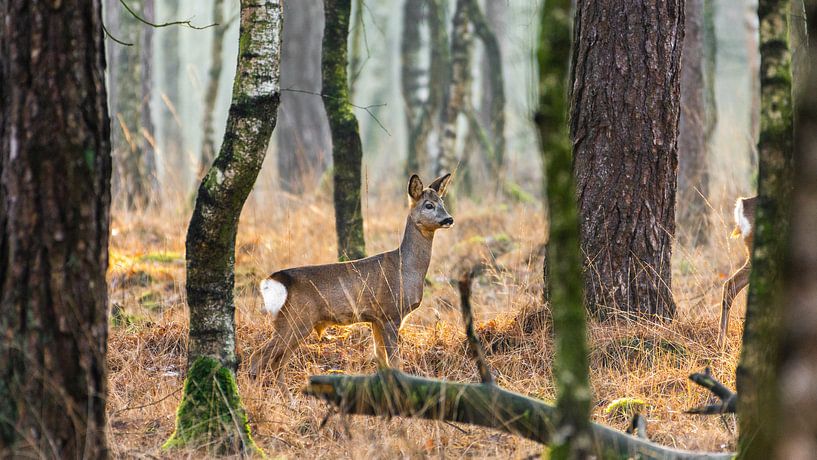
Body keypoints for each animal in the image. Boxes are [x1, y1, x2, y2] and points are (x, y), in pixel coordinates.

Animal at [249, 174, 452, 394]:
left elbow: (382, 360)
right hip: (295, 319)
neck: (406, 268)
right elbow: (395, 362)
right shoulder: (391, 313)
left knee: (277, 361)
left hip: (293, 323)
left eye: (443, 202)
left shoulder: (376, 319)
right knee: (259, 357)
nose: (449, 219)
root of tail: (274, 281)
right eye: (429, 205)